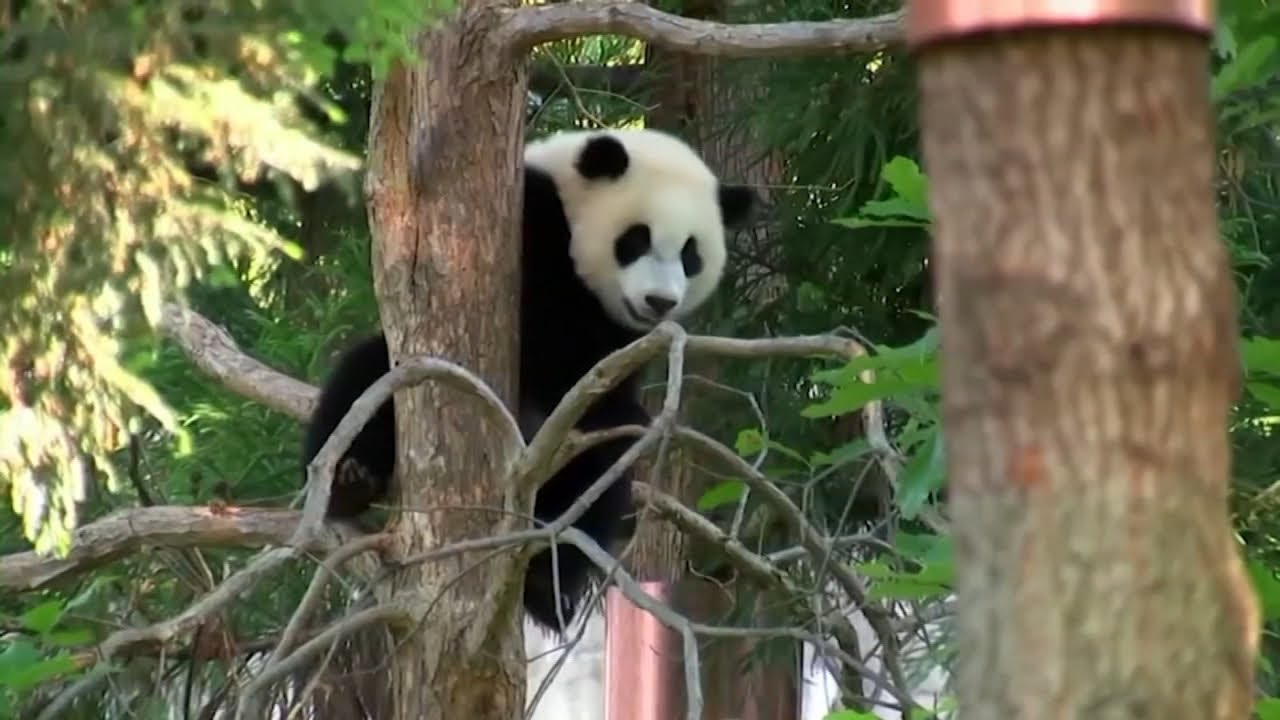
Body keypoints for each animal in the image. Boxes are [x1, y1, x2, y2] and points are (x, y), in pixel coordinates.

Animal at [301, 127, 758, 634]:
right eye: (636, 240)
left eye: (690, 255)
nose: (659, 301)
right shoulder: (535, 219)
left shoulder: (616, 340)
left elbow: (603, 392)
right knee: (364, 379)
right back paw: (350, 478)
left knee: (597, 471)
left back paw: (547, 582)